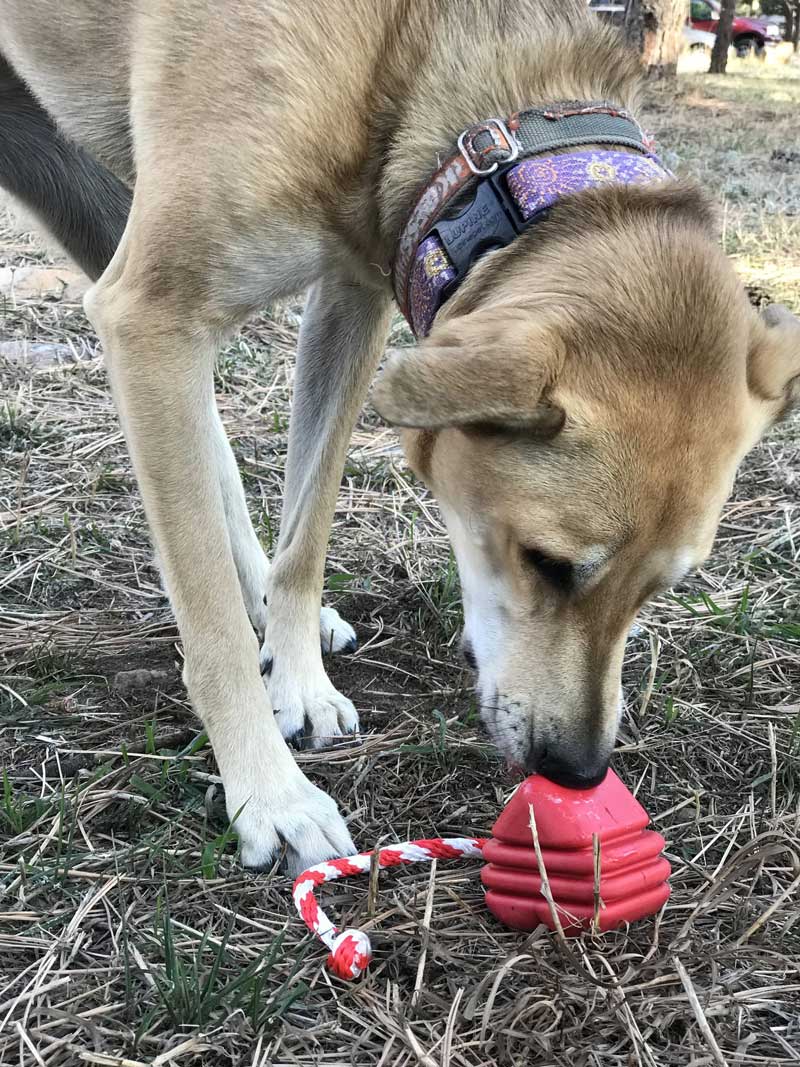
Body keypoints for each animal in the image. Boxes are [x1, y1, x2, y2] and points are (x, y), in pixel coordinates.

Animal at [3, 0, 797, 870]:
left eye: (664, 589)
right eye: (546, 563)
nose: (579, 770)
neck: (409, 51)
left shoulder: (354, 293)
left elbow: (307, 528)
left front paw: (301, 677)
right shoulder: (152, 313)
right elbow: (208, 623)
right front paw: (270, 791)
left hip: (90, 203)